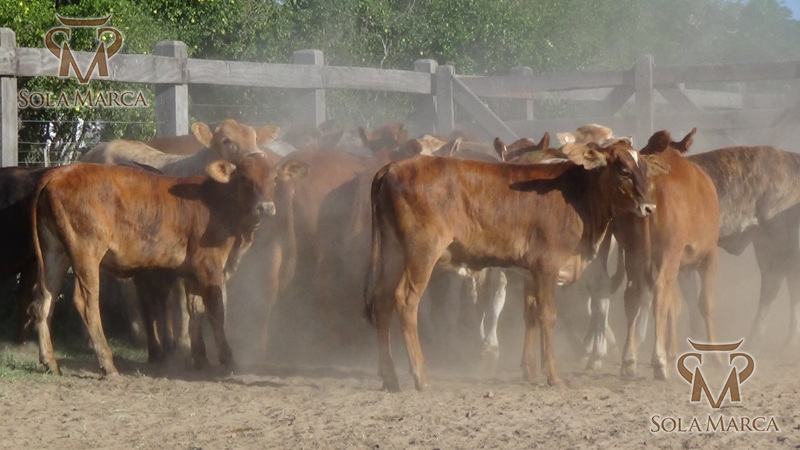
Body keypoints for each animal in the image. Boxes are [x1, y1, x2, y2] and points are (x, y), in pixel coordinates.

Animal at [29, 153, 307, 377]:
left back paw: (50, 361)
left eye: (274, 179)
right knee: (85, 302)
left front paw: (201, 359)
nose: (266, 208)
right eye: (245, 179)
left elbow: (196, 311)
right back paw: (107, 363)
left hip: (55, 253)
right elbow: (216, 310)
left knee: (45, 301)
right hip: (86, 252)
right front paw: (227, 360)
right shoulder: (209, 266)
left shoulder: (193, 273)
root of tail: (59, 173)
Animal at [363, 138, 668, 391]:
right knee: (406, 302)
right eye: (623, 170)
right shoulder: (547, 266)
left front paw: (529, 372)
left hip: (392, 251)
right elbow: (547, 315)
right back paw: (420, 375)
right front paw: (553, 376)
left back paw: (389, 376)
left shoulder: (530, 272)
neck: (576, 195)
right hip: (422, 252)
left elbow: (530, 314)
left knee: (382, 301)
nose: (649, 207)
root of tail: (390, 169)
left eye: (643, 169)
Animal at [616, 128, 720, 380]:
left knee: (633, 293)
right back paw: (659, 361)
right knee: (660, 291)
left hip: (633, 252)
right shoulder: (708, 255)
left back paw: (629, 360)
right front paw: (715, 356)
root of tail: (650, 182)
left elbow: (675, 303)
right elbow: (705, 303)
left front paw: (673, 351)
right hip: (668, 250)